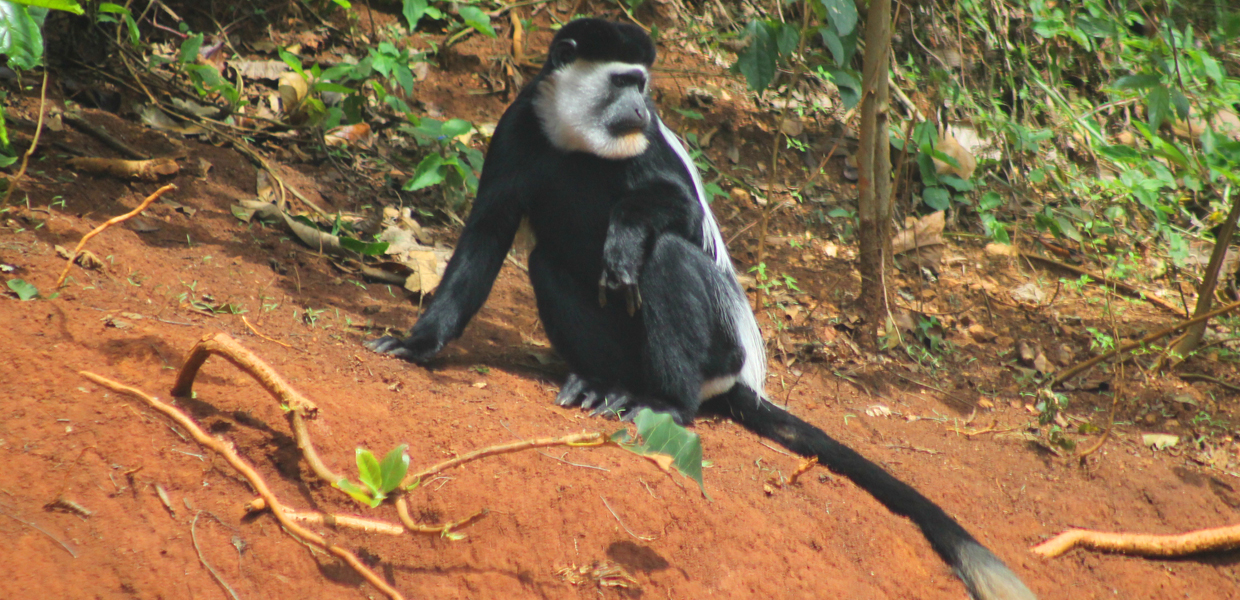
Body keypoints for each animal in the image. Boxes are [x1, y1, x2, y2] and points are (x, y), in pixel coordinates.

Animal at [367, 18, 1036, 600]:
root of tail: (733, 379)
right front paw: (418, 342)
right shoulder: (517, 127)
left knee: (666, 259)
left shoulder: (648, 148)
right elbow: (485, 235)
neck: (578, 141)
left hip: (718, 345)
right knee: (546, 263)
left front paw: (624, 236)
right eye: (622, 81)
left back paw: (666, 402)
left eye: (643, 84)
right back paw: (600, 384)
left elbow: (677, 217)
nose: (641, 108)